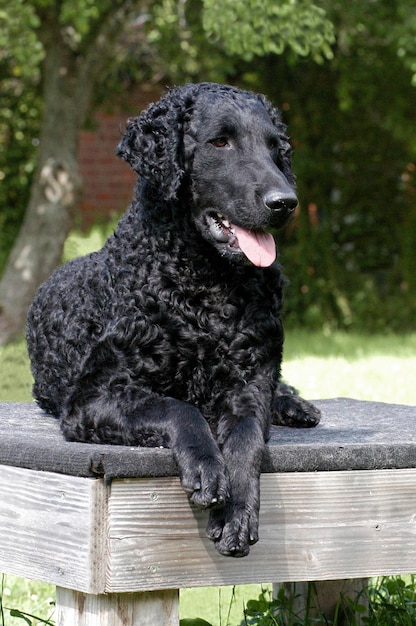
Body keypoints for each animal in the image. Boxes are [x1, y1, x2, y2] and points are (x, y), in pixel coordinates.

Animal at [27, 83, 320, 556]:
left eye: (277, 148)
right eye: (220, 142)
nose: (285, 203)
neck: (204, 291)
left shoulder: (247, 387)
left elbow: (246, 441)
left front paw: (238, 510)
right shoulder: (92, 396)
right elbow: (178, 407)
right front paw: (206, 466)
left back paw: (294, 403)